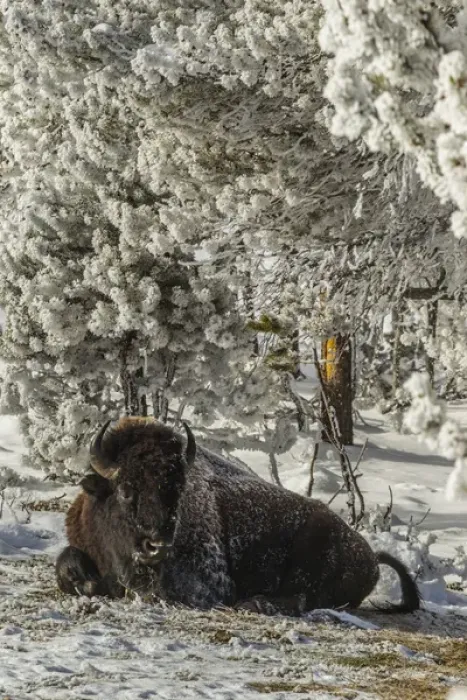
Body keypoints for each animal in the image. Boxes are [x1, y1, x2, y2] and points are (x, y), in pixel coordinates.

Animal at [56, 417, 420, 615]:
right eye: (125, 490)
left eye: (178, 491)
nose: (156, 545)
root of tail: (370, 554)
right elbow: (66, 562)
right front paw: (83, 579)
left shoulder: (209, 583)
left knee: (302, 597)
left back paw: (253, 604)